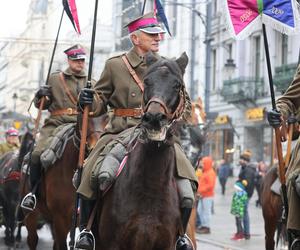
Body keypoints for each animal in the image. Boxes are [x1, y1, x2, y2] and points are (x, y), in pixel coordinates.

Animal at [22, 115, 108, 250]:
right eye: (85, 116)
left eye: (107, 117)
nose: (97, 147)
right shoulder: (60, 220)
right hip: (31, 215)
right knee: (32, 239)